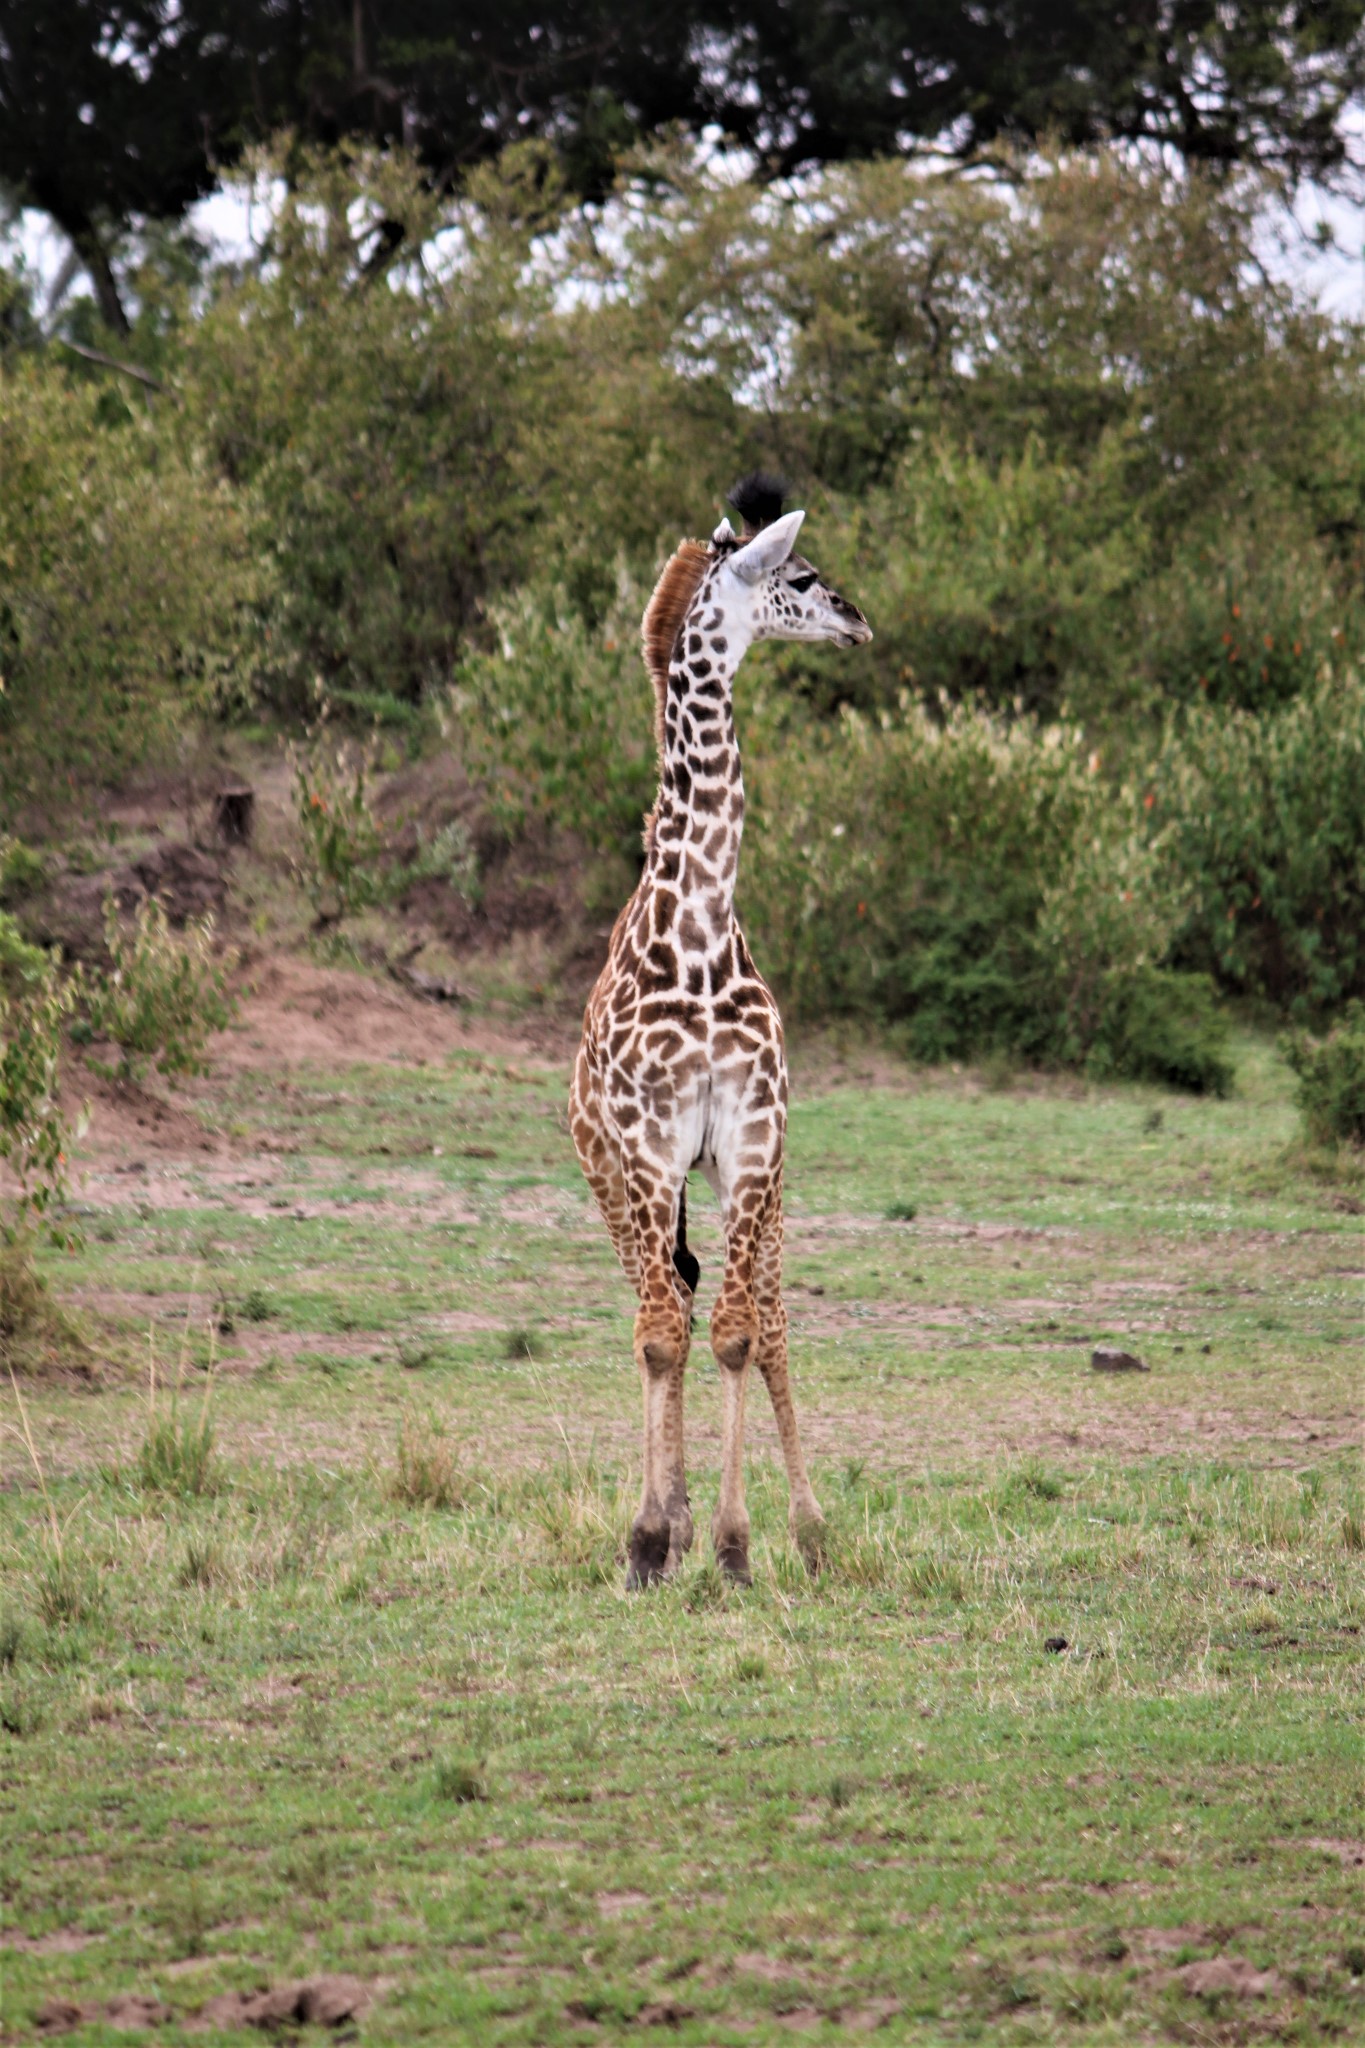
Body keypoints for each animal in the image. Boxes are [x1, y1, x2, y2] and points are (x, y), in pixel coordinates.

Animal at [568, 475, 875, 1581]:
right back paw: (665, 1520)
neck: (698, 926)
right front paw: (652, 1535)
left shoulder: (752, 1139)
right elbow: (665, 1336)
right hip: (610, 1178)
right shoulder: (650, 1146)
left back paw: (806, 1528)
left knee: (759, 1316)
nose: (858, 621)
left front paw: (741, 1544)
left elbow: (743, 1333)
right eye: (802, 576)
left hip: (756, 1187)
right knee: (657, 1312)